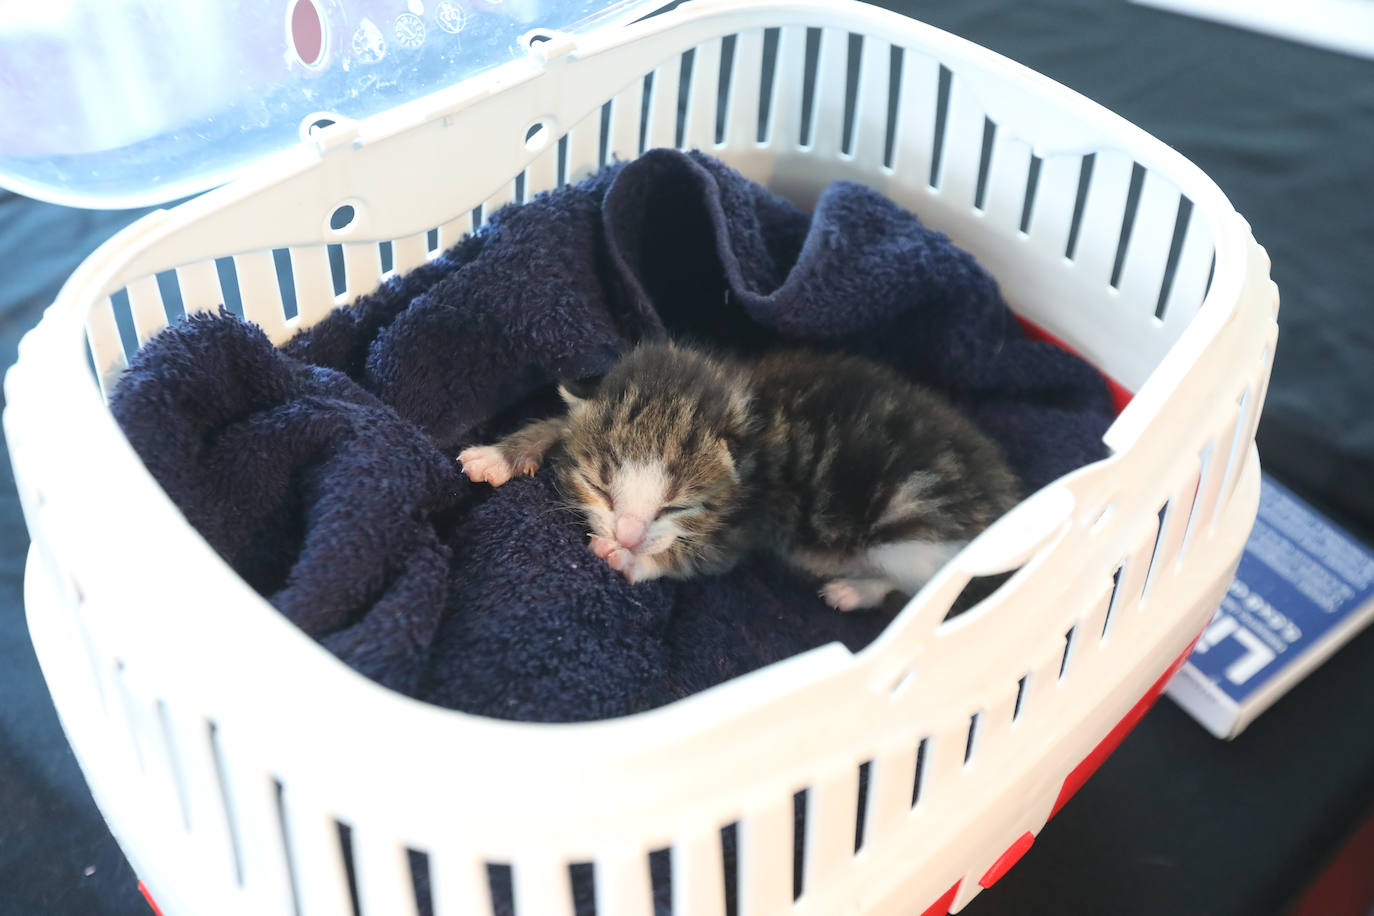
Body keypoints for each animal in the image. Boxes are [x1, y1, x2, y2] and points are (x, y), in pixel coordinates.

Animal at [461, 341, 1022, 609]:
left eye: (676, 506)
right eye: (600, 486)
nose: (627, 534)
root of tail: (1006, 498)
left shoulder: (751, 521)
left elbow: (695, 557)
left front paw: (629, 561)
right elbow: (560, 422)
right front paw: (499, 455)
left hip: (911, 532)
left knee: (924, 583)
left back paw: (853, 590)